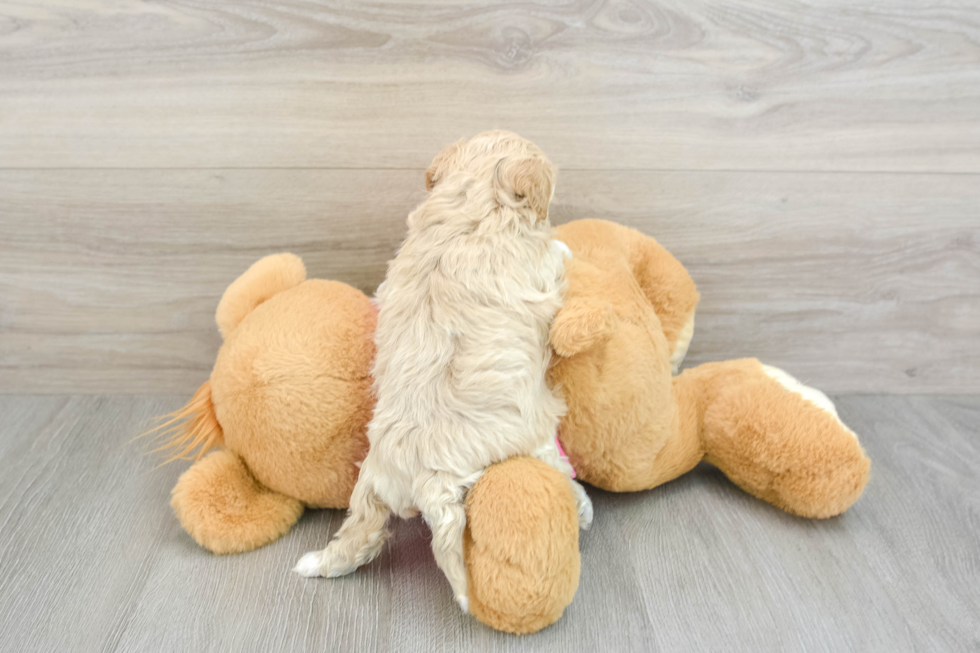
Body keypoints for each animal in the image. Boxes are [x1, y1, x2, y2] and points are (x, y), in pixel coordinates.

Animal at [294, 131, 592, 612]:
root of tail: (418, 477)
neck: (471, 199)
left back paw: (319, 563)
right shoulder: (540, 269)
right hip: (530, 441)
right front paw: (564, 244)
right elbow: (556, 256)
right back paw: (582, 507)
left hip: (370, 490)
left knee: (360, 533)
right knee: (555, 469)